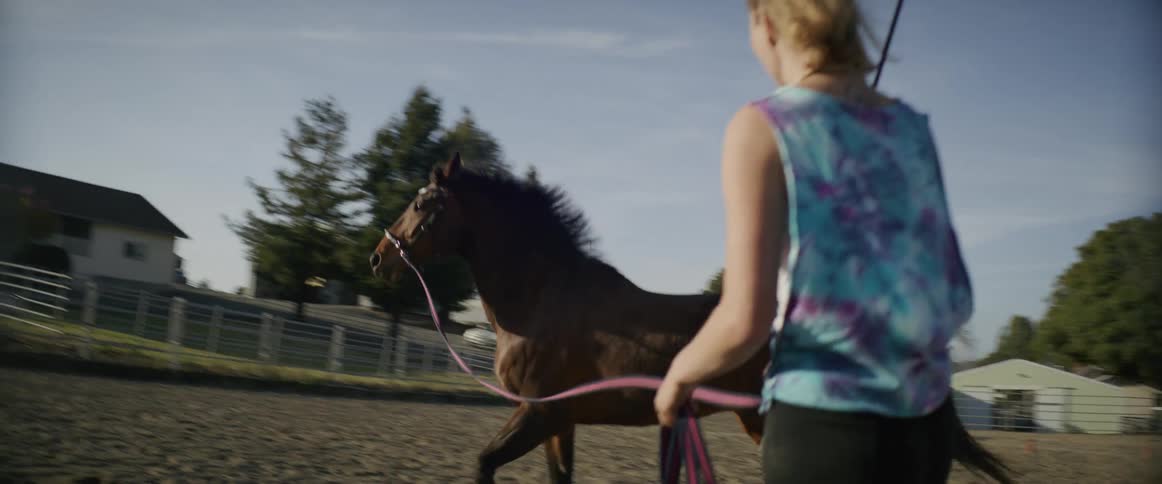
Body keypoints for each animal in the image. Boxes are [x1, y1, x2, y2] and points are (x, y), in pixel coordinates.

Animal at [370, 153, 1012, 484]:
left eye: (423, 203)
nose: (379, 258)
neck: (542, 300)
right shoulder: (559, 421)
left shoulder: (537, 414)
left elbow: (483, 463)